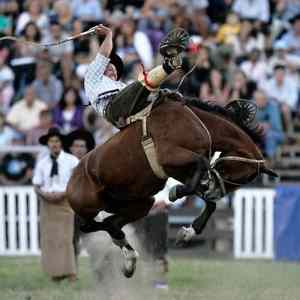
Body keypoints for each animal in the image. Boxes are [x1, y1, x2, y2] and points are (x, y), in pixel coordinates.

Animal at [66, 96, 276, 276]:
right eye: (241, 175)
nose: (215, 191)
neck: (199, 123)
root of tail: (74, 175)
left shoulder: (181, 171)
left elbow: (206, 197)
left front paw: (188, 233)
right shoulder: (169, 156)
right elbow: (201, 164)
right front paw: (176, 193)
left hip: (142, 203)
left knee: (111, 223)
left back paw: (129, 257)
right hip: (90, 205)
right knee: (90, 225)